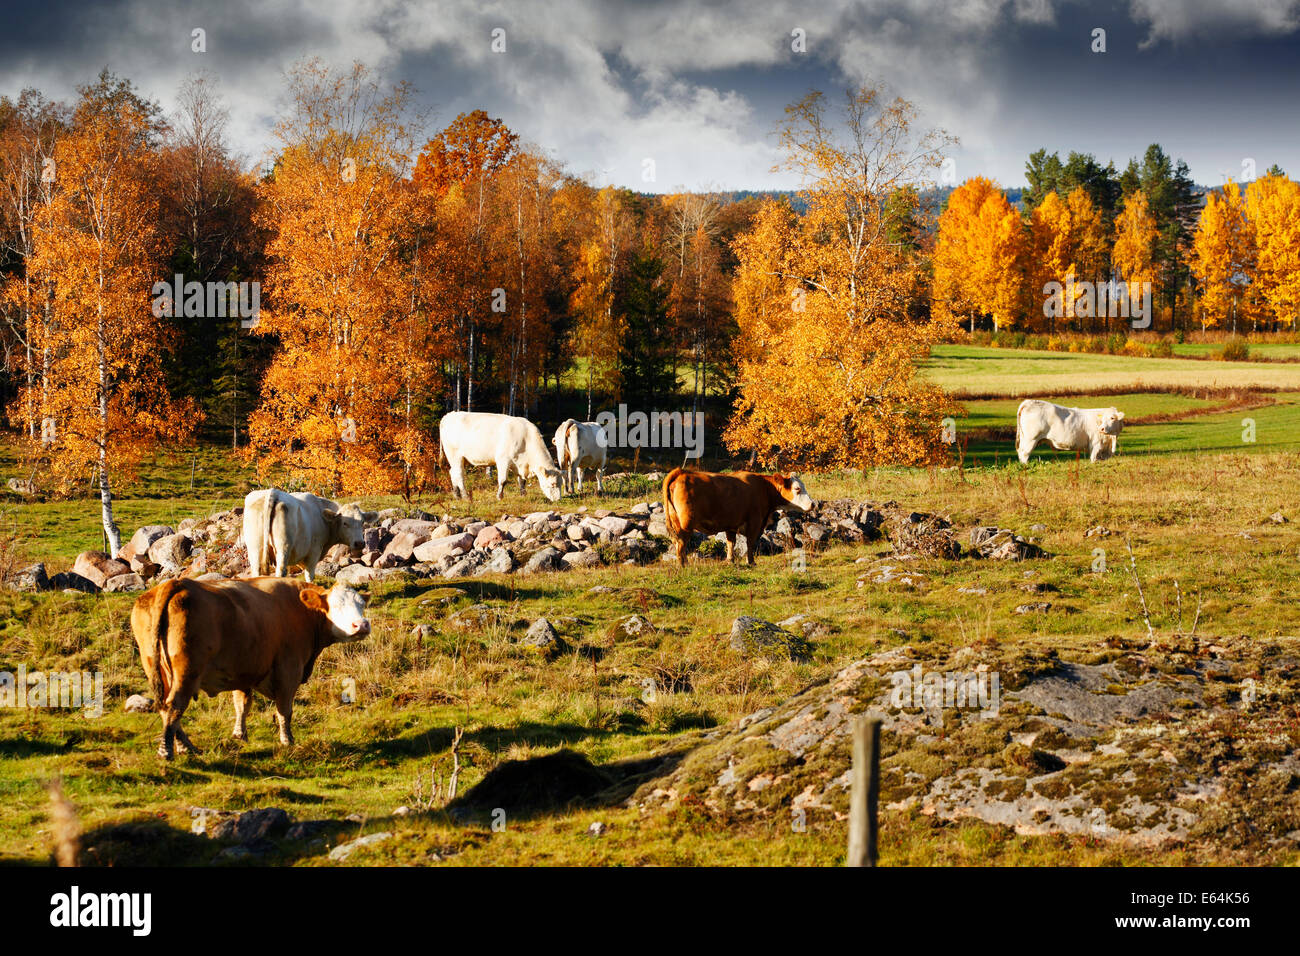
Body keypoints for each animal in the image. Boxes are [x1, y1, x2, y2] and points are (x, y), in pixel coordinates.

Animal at [130, 574, 371, 764]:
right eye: (336, 606)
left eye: (362, 605)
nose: (362, 625)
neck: (302, 610)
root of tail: (176, 583)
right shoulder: (289, 669)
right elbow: (284, 710)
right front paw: (287, 741)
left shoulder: (242, 670)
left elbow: (242, 705)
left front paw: (240, 735)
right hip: (187, 671)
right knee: (174, 707)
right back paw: (167, 751)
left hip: (157, 668)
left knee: (166, 708)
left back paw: (186, 747)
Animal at [243, 486, 377, 582]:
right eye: (345, 523)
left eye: (362, 522)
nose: (359, 543)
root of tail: (273, 492)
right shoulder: (314, 551)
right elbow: (310, 575)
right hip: (283, 547)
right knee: (281, 571)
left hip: (255, 547)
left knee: (256, 571)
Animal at [660, 468, 811, 567]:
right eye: (797, 489)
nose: (813, 504)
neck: (764, 488)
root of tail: (681, 472)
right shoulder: (754, 521)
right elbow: (750, 542)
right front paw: (751, 562)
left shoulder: (731, 525)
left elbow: (730, 543)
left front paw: (730, 560)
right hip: (685, 525)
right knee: (681, 545)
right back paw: (684, 565)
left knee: (677, 543)